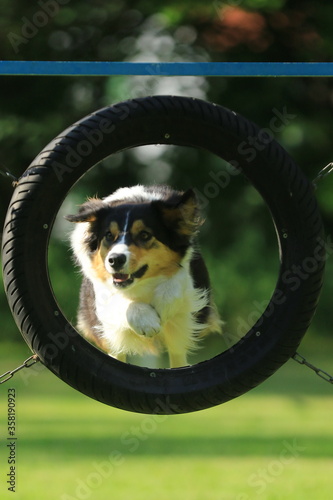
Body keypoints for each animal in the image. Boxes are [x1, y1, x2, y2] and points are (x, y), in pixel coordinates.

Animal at [65, 185, 220, 368]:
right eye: (109, 235)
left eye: (145, 235)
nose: (115, 260)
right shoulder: (102, 294)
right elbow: (119, 302)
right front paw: (147, 321)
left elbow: (175, 284)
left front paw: (163, 306)